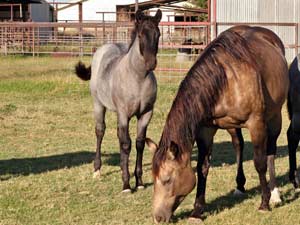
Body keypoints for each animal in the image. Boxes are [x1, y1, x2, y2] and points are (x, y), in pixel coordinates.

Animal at [74, 10, 162, 192]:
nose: (151, 63)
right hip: (98, 104)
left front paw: (139, 182)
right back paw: (97, 169)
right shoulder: (124, 114)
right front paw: (126, 184)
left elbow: (139, 143)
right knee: (100, 131)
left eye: (158, 34)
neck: (138, 79)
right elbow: (126, 144)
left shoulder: (146, 113)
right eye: (141, 35)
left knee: (118, 136)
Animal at [146, 25, 290, 222]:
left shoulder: (256, 123)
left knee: (270, 150)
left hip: (275, 117)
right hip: (232, 125)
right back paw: (239, 186)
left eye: (167, 179)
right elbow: (202, 168)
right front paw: (197, 211)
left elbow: (259, 163)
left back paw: (275, 194)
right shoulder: (206, 129)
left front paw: (264, 203)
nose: (158, 217)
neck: (225, 78)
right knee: (238, 145)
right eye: (153, 179)